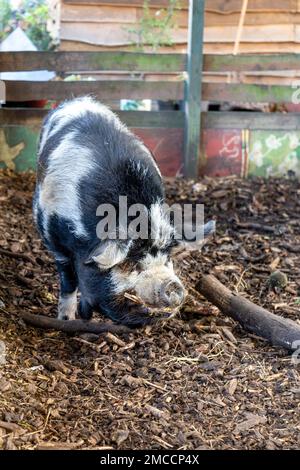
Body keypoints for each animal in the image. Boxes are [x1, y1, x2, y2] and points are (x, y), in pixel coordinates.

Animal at [32, 97, 214, 326]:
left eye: (167, 259)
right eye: (130, 264)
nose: (172, 286)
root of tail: (79, 99)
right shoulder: (54, 239)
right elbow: (69, 281)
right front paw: (66, 320)